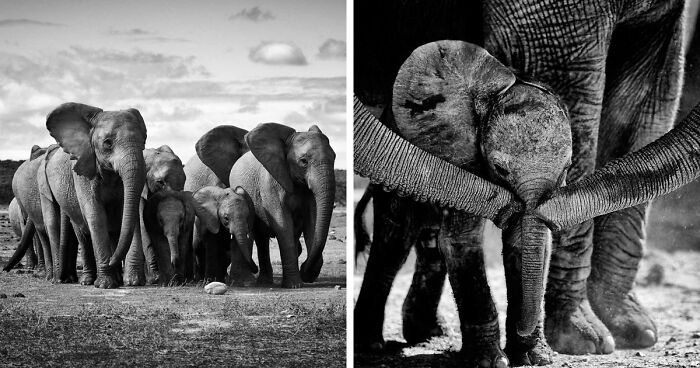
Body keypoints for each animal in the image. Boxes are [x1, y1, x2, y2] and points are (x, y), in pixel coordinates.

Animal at [41, 102, 148, 288]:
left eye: (144, 140)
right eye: (107, 143)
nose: (111, 261)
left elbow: (130, 212)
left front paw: (133, 282)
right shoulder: (82, 170)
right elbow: (96, 216)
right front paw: (105, 284)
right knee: (83, 235)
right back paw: (88, 281)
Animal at [358, 0, 692, 360]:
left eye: (565, 169)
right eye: (500, 169)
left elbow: (645, 102)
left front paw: (630, 334)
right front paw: (573, 343)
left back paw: (428, 333)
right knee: (397, 234)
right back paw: (374, 344)